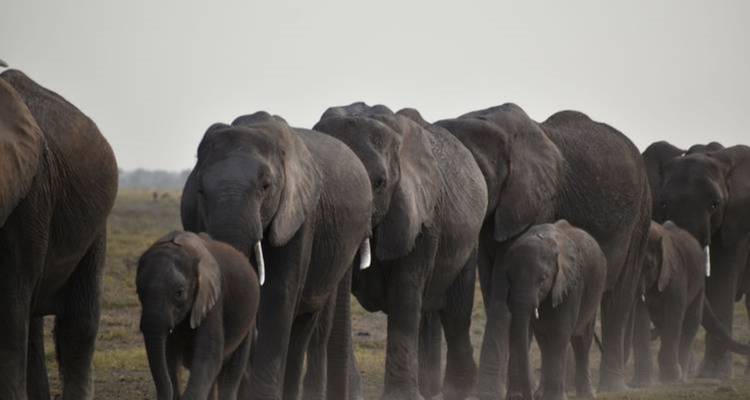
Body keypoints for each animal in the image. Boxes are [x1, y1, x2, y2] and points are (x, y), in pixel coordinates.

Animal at [138, 231, 260, 400]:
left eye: (179, 293)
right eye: (139, 291)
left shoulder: (213, 300)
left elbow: (208, 354)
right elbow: (169, 355)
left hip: (248, 324)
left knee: (232, 371)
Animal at [181, 112, 372, 400]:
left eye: (265, 186)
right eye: (200, 191)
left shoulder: (298, 217)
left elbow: (277, 295)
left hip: (347, 240)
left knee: (307, 326)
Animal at [313, 103, 488, 400]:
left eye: (380, 183)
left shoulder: (426, 217)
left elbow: (404, 292)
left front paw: (402, 397)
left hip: (467, 242)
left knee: (455, 316)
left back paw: (458, 390)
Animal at [504, 220, 606, 400]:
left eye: (542, 279)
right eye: (509, 277)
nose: (528, 397)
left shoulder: (571, 283)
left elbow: (559, 332)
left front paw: (555, 398)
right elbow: (530, 331)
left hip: (595, 288)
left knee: (582, 340)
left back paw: (585, 395)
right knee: (544, 343)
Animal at [632, 221, 750, 386]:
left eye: (650, 265)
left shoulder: (677, 277)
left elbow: (674, 317)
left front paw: (671, 378)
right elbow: (640, 316)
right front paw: (640, 384)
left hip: (698, 284)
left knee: (690, 322)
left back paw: (681, 376)